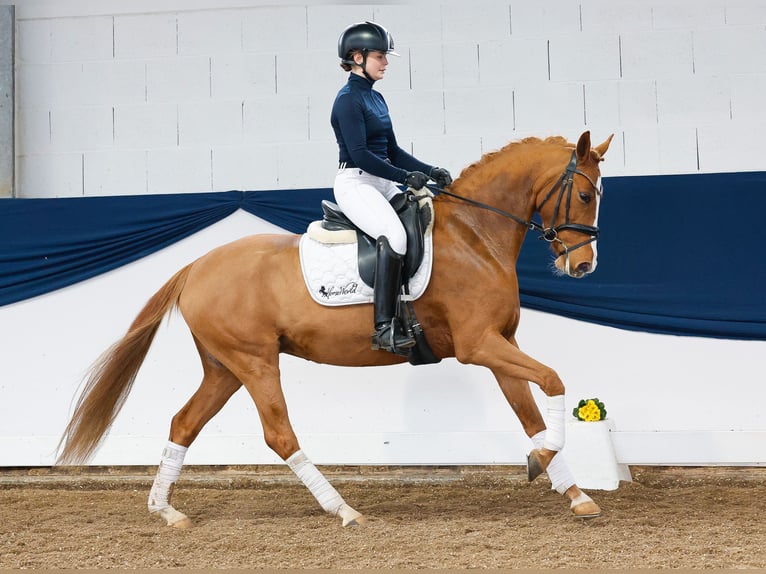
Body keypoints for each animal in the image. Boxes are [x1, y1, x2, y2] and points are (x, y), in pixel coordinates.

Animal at [57, 132, 616, 532]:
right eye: (583, 194)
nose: (584, 266)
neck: (476, 236)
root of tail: (195, 266)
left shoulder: (502, 345)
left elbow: (531, 413)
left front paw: (571, 490)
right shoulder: (480, 346)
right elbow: (555, 381)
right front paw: (544, 463)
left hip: (224, 368)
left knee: (183, 423)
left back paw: (166, 510)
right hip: (255, 362)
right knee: (278, 434)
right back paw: (343, 509)